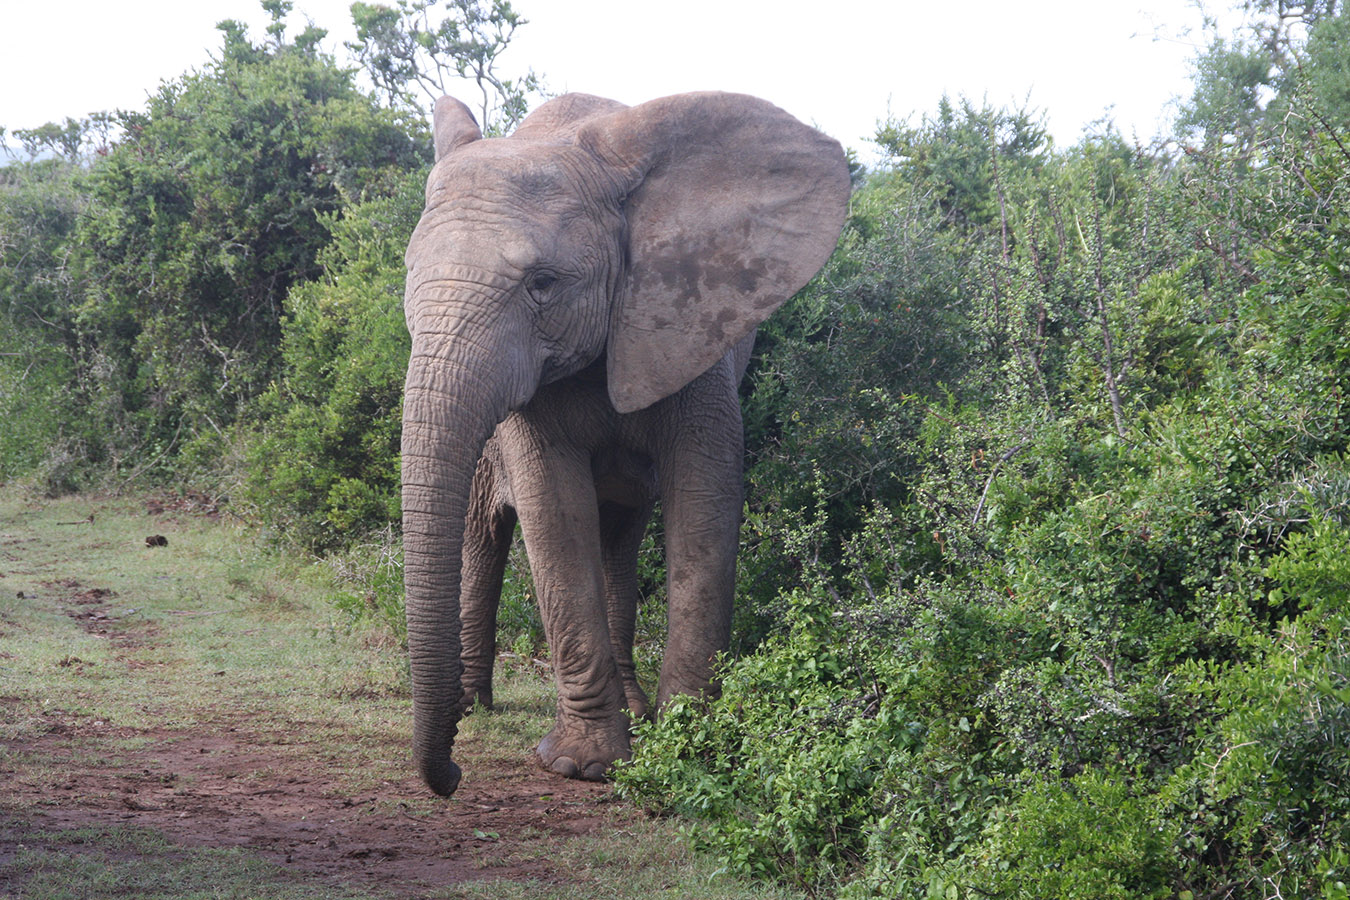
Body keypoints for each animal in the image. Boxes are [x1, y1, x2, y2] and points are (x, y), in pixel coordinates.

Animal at [400, 90, 850, 797]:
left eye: (543, 284)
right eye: (409, 276)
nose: (450, 777)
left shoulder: (688, 322)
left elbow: (705, 505)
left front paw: (690, 744)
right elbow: (555, 513)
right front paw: (583, 765)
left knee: (619, 535)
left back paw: (626, 710)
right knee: (483, 532)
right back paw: (473, 708)